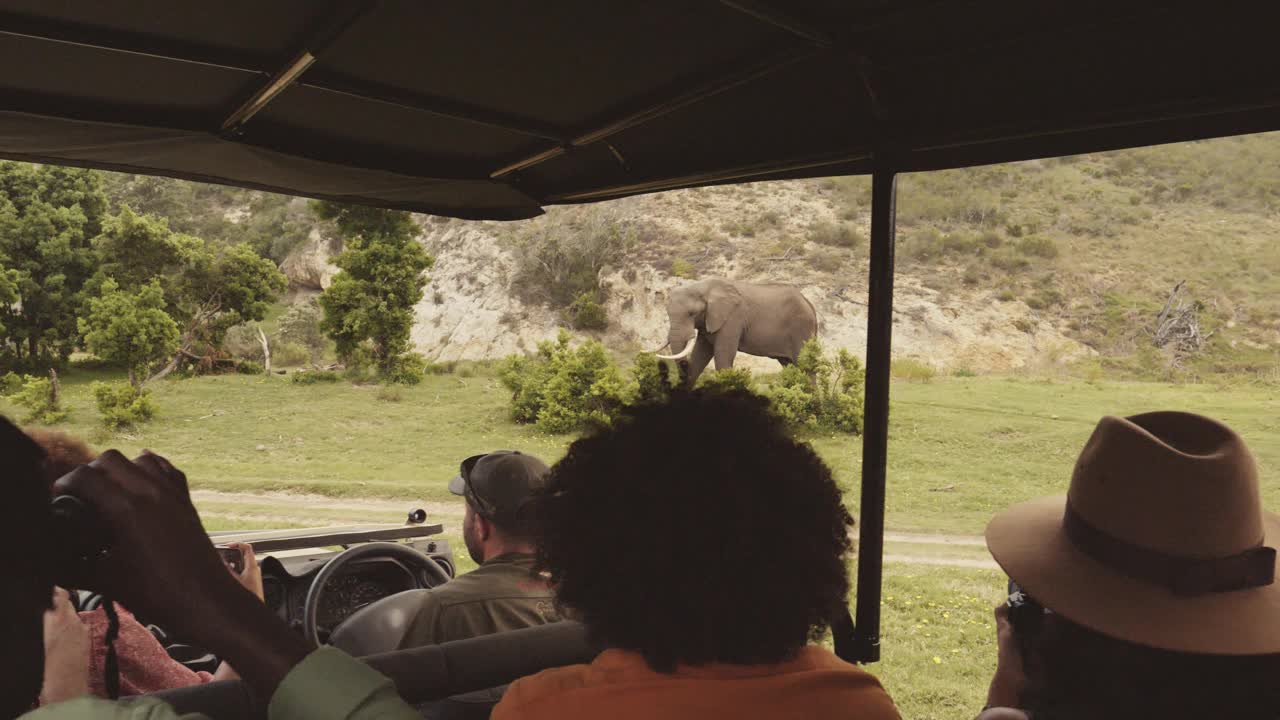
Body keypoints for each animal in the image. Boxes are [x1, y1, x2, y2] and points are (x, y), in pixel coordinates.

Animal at [660, 275, 819, 386]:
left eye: (692, 313)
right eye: (667, 312)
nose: (684, 365)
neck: (703, 286)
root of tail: (809, 304)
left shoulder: (732, 318)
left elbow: (723, 357)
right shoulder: (708, 322)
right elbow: (700, 357)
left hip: (802, 329)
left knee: (806, 368)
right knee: (790, 366)